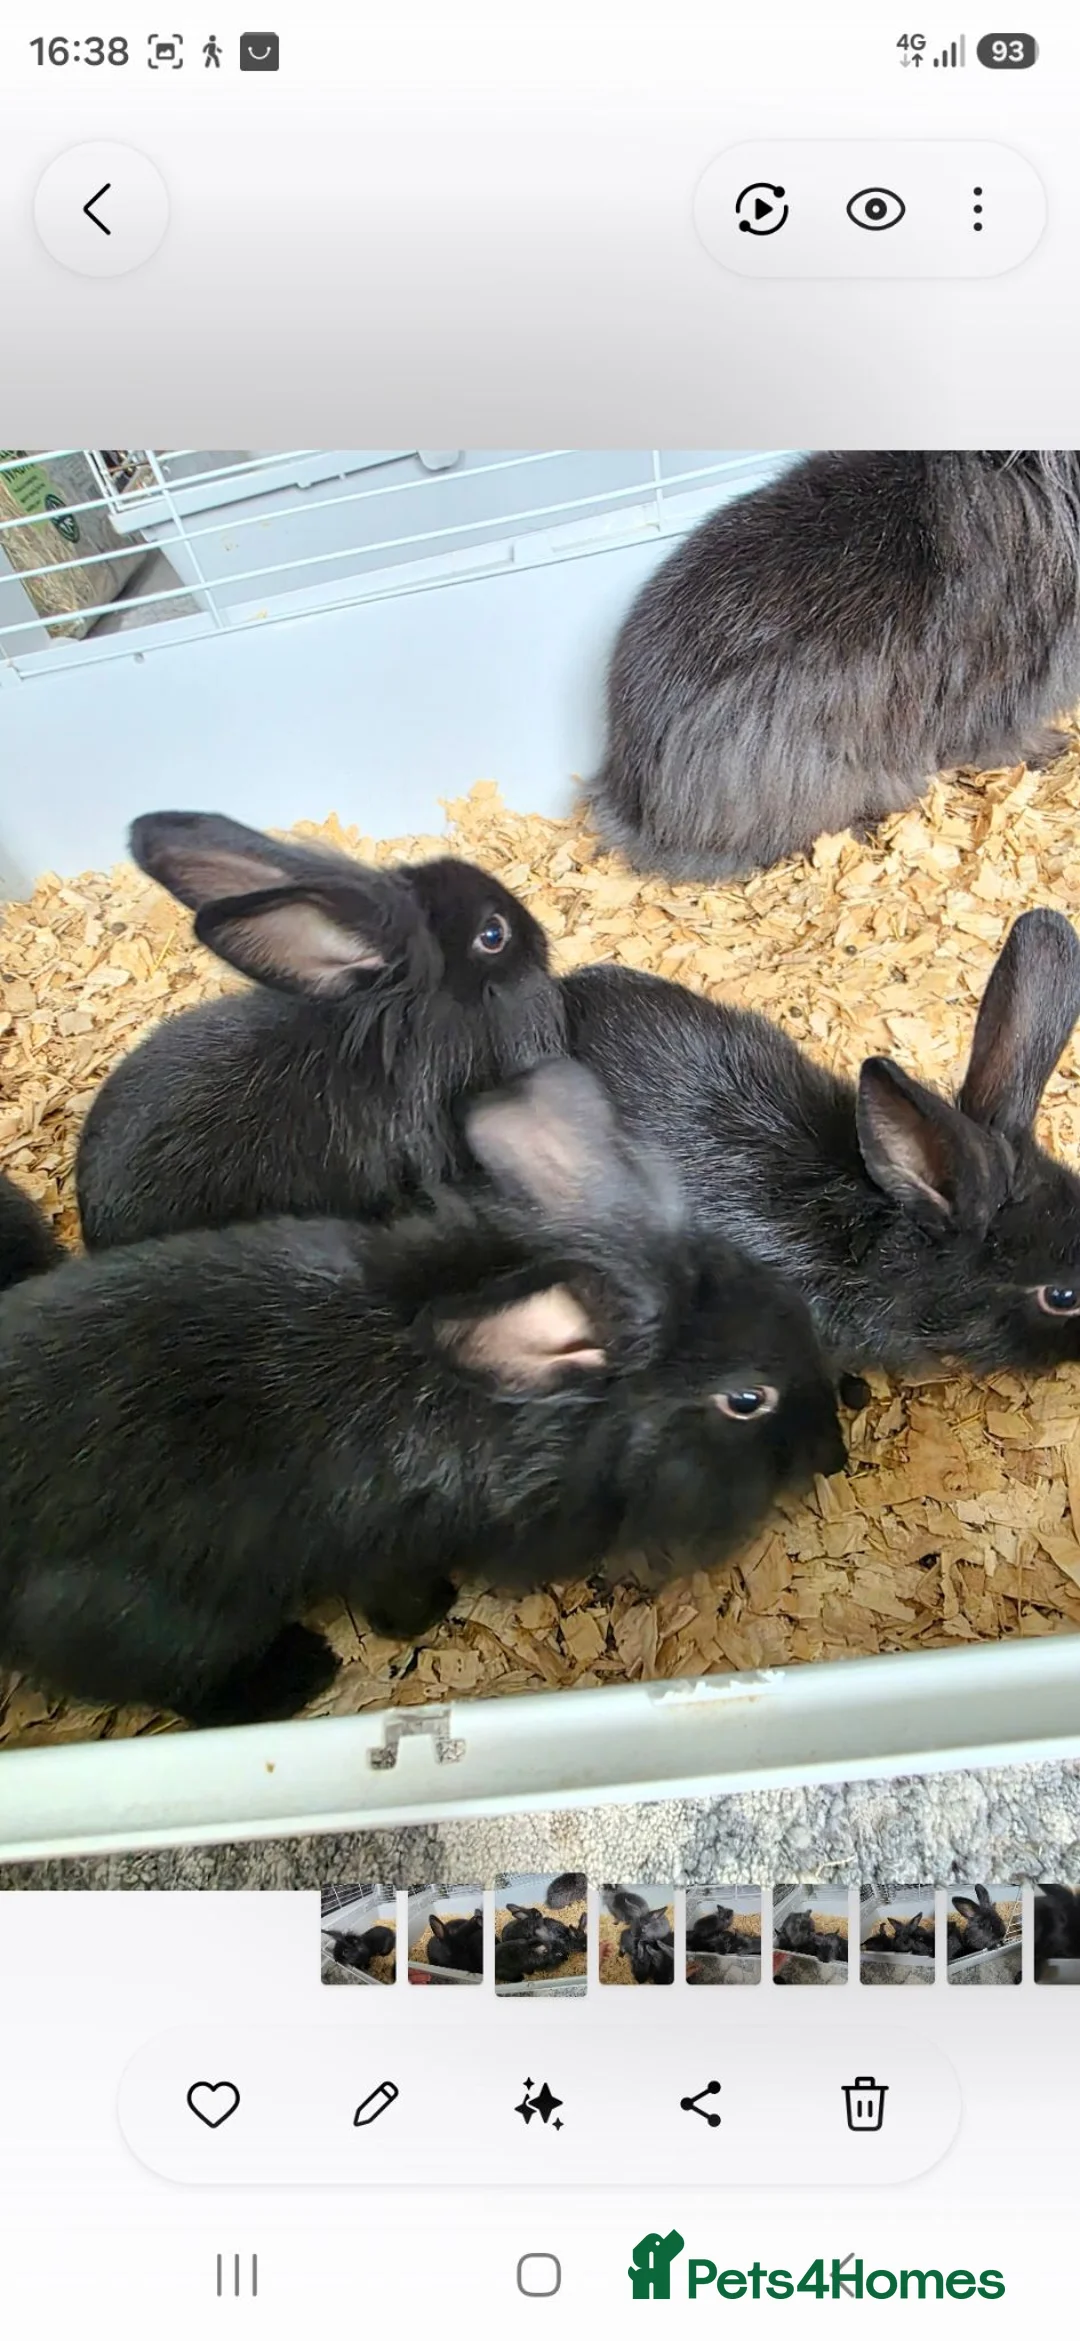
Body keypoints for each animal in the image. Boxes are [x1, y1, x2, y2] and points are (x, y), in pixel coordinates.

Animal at [2, 1060, 845, 1726]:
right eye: (746, 1399)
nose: (833, 1455)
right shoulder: (390, 1550)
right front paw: (431, 1615)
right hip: (162, 1620)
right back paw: (305, 1672)